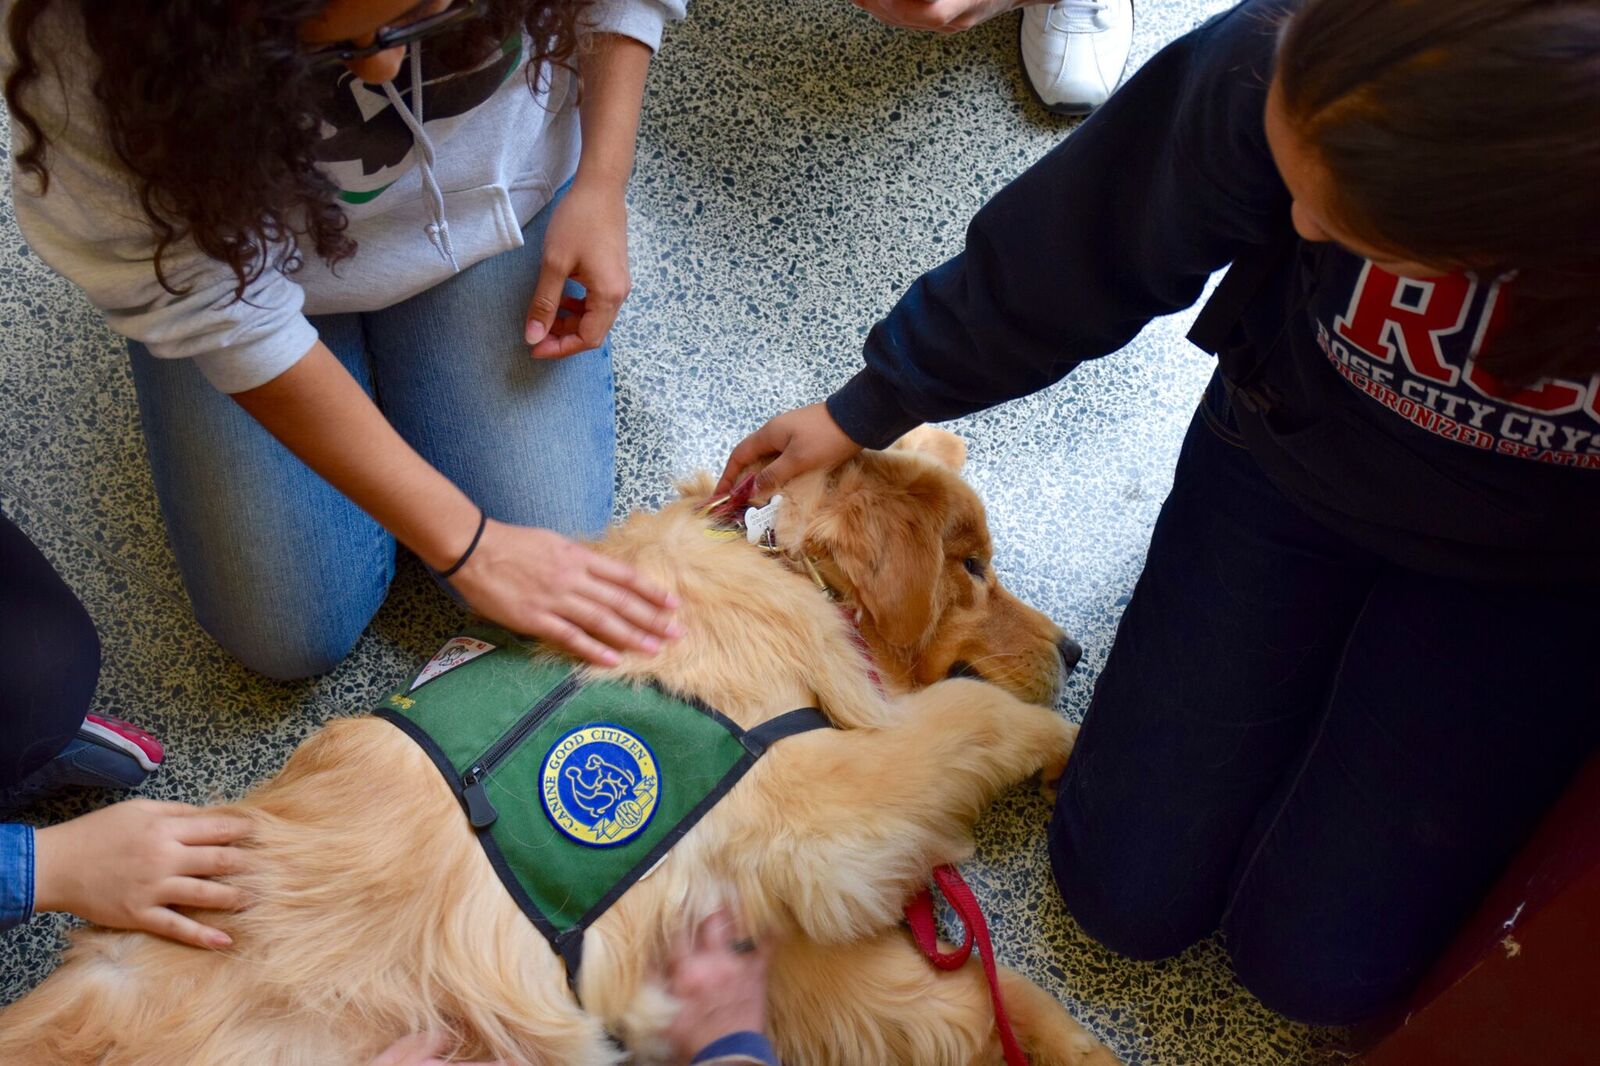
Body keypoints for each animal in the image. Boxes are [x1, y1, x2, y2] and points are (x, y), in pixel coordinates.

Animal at [0, 425, 1120, 1062]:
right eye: (970, 567)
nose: (1075, 649)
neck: (783, 576)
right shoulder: (804, 804)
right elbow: (968, 718)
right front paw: (1067, 742)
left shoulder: (774, 944)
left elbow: (973, 1004)